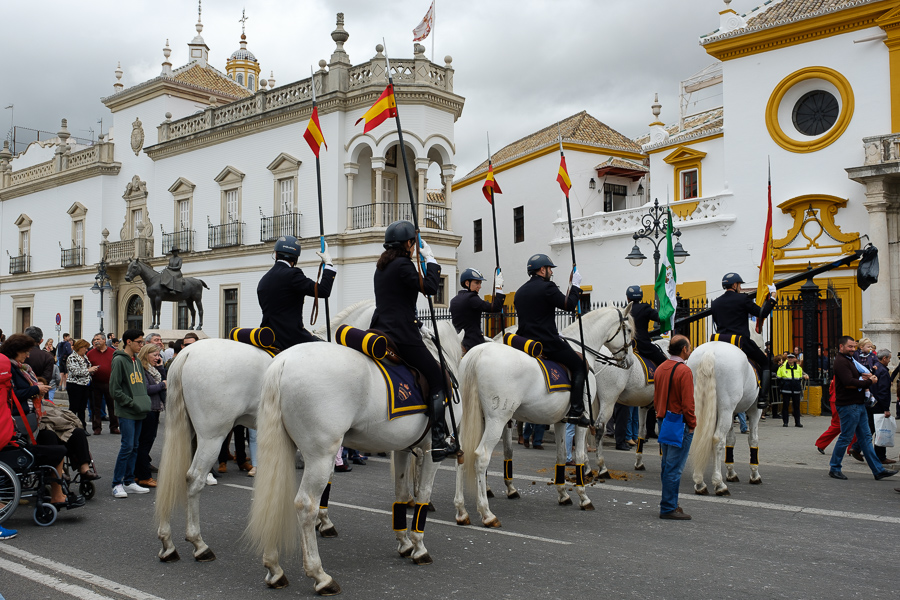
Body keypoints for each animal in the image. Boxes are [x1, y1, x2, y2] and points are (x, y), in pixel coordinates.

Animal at [154, 299, 376, 563]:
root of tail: (187, 353)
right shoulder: (326, 441)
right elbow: (325, 479)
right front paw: (324, 522)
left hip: (186, 429)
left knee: (172, 474)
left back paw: (168, 543)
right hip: (213, 435)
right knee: (194, 478)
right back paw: (199, 544)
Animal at [245, 320, 464, 595]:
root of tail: (282, 362)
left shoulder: (402, 449)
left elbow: (401, 494)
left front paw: (404, 543)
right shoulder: (431, 452)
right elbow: (423, 496)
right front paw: (419, 547)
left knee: (273, 499)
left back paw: (274, 569)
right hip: (321, 454)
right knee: (306, 505)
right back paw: (320, 576)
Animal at [454, 305, 633, 528]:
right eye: (629, 329)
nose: (629, 361)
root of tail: (478, 353)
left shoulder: (561, 421)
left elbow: (561, 455)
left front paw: (563, 494)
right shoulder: (581, 422)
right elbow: (579, 456)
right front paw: (583, 497)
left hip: (475, 419)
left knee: (462, 457)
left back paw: (461, 511)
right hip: (497, 420)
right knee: (481, 457)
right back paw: (487, 513)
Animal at [686, 340, 762, 496]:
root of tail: (710, 352)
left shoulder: (732, 413)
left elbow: (731, 440)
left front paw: (731, 472)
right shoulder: (755, 410)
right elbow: (753, 439)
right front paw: (755, 474)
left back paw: (700, 483)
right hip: (726, 408)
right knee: (717, 440)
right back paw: (719, 484)